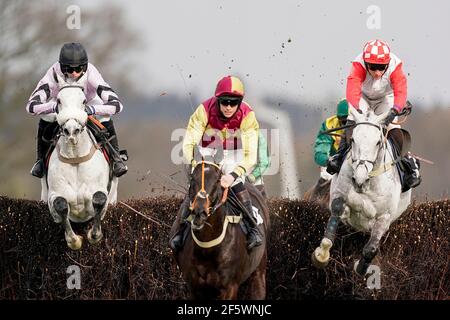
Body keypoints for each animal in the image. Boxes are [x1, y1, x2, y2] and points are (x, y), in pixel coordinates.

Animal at [41, 74, 118, 250]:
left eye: (83, 101)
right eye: (59, 100)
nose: (71, 131)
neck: (75, 157)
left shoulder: (100, 192)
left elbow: (99, 199)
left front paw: (94, 235)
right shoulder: (53, 195)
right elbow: (61, 205)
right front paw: (74, 240)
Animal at [173, 162, 270, 300]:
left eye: (218, 180)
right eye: (192, 179)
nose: (199, 213)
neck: (207, 247)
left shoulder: (229, 287)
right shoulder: (194, 288)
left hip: (259, 270)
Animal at [312, 107, 412, 276]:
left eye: (378, 142)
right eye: (352, 139)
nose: (359, 178)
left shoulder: (384, 217)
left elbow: (371, 249)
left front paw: (360, 268)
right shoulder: (339, 196)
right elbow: (335, 218)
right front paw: (321, 256)